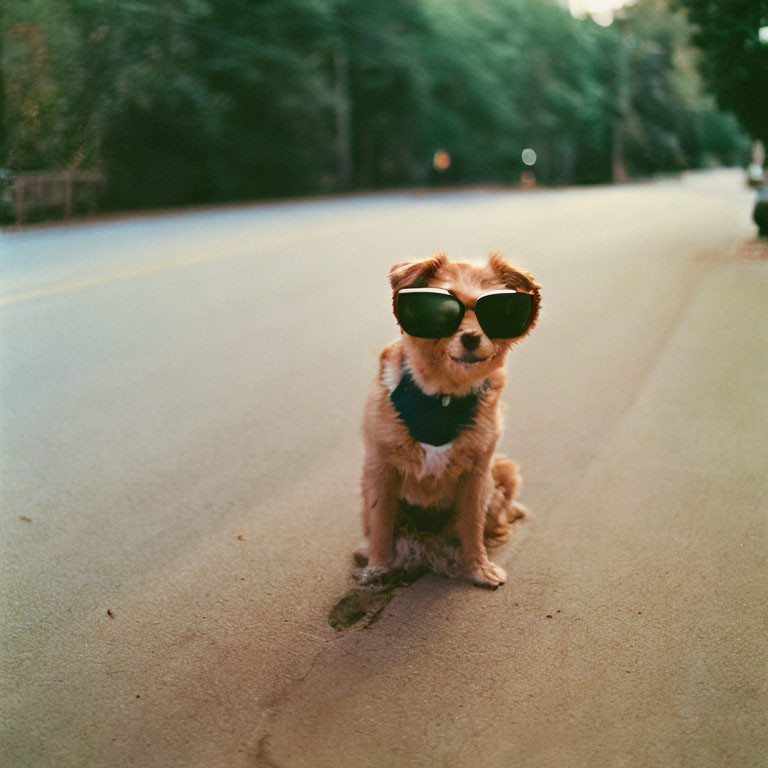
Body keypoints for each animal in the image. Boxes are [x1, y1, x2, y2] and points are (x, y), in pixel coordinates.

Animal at [356, 252, 540, 588]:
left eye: (499, 310)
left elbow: (472, 525)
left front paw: (478, 567)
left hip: (505, 467)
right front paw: (378, 568)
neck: (444, 393)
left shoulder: (478, 471)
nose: (470, 337)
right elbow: (380, 524)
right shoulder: (380, 468)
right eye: (442, 310)